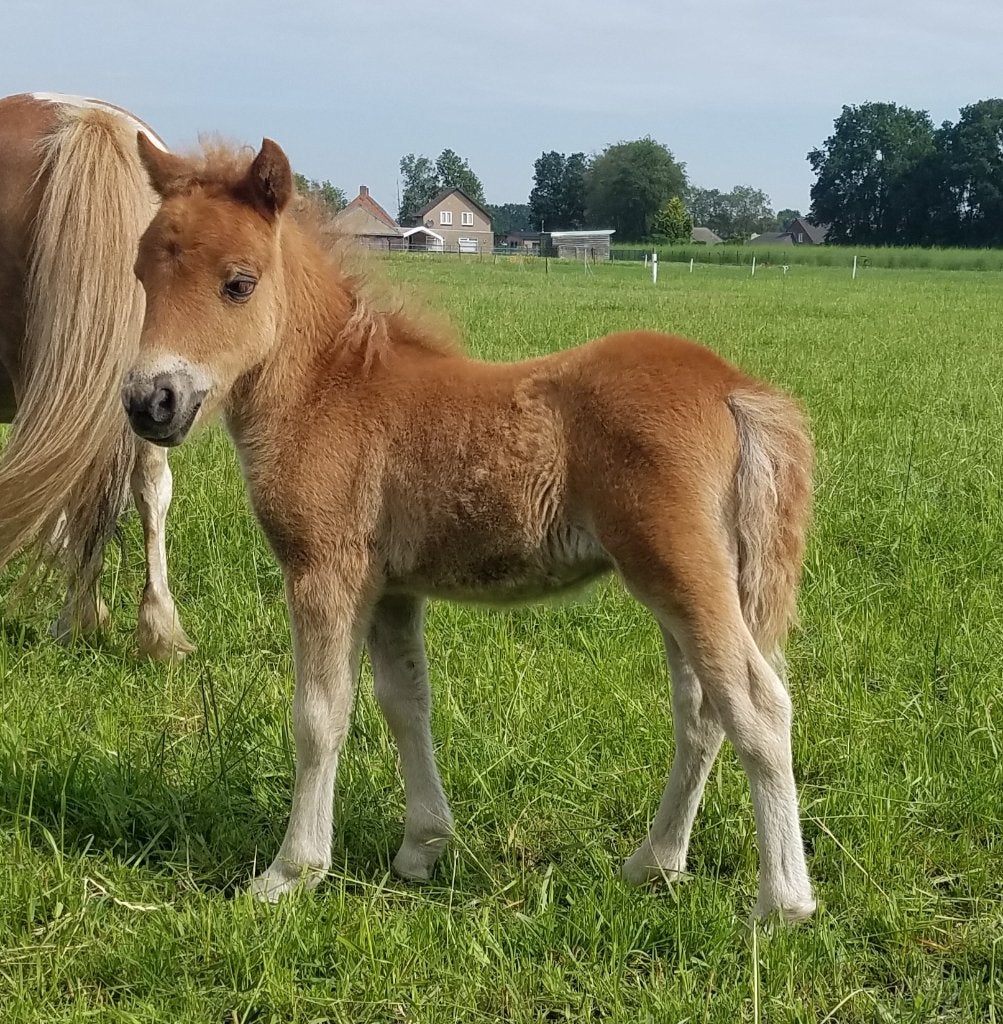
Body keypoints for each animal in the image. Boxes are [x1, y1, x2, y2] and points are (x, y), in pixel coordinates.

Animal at [121, 135, 817, 923]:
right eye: (142, 273)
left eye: (239, 284)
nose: (151, 401)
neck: (330, 390)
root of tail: (732, 388)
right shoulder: (392, 588)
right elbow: (404, 703)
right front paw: (423, 847)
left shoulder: (324, 568)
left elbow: (319, 714)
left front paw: (291, 872)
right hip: (691, 581)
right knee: (701, 713)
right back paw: (654, 864)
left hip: (681, 572)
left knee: (756, 706)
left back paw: (781, 904)